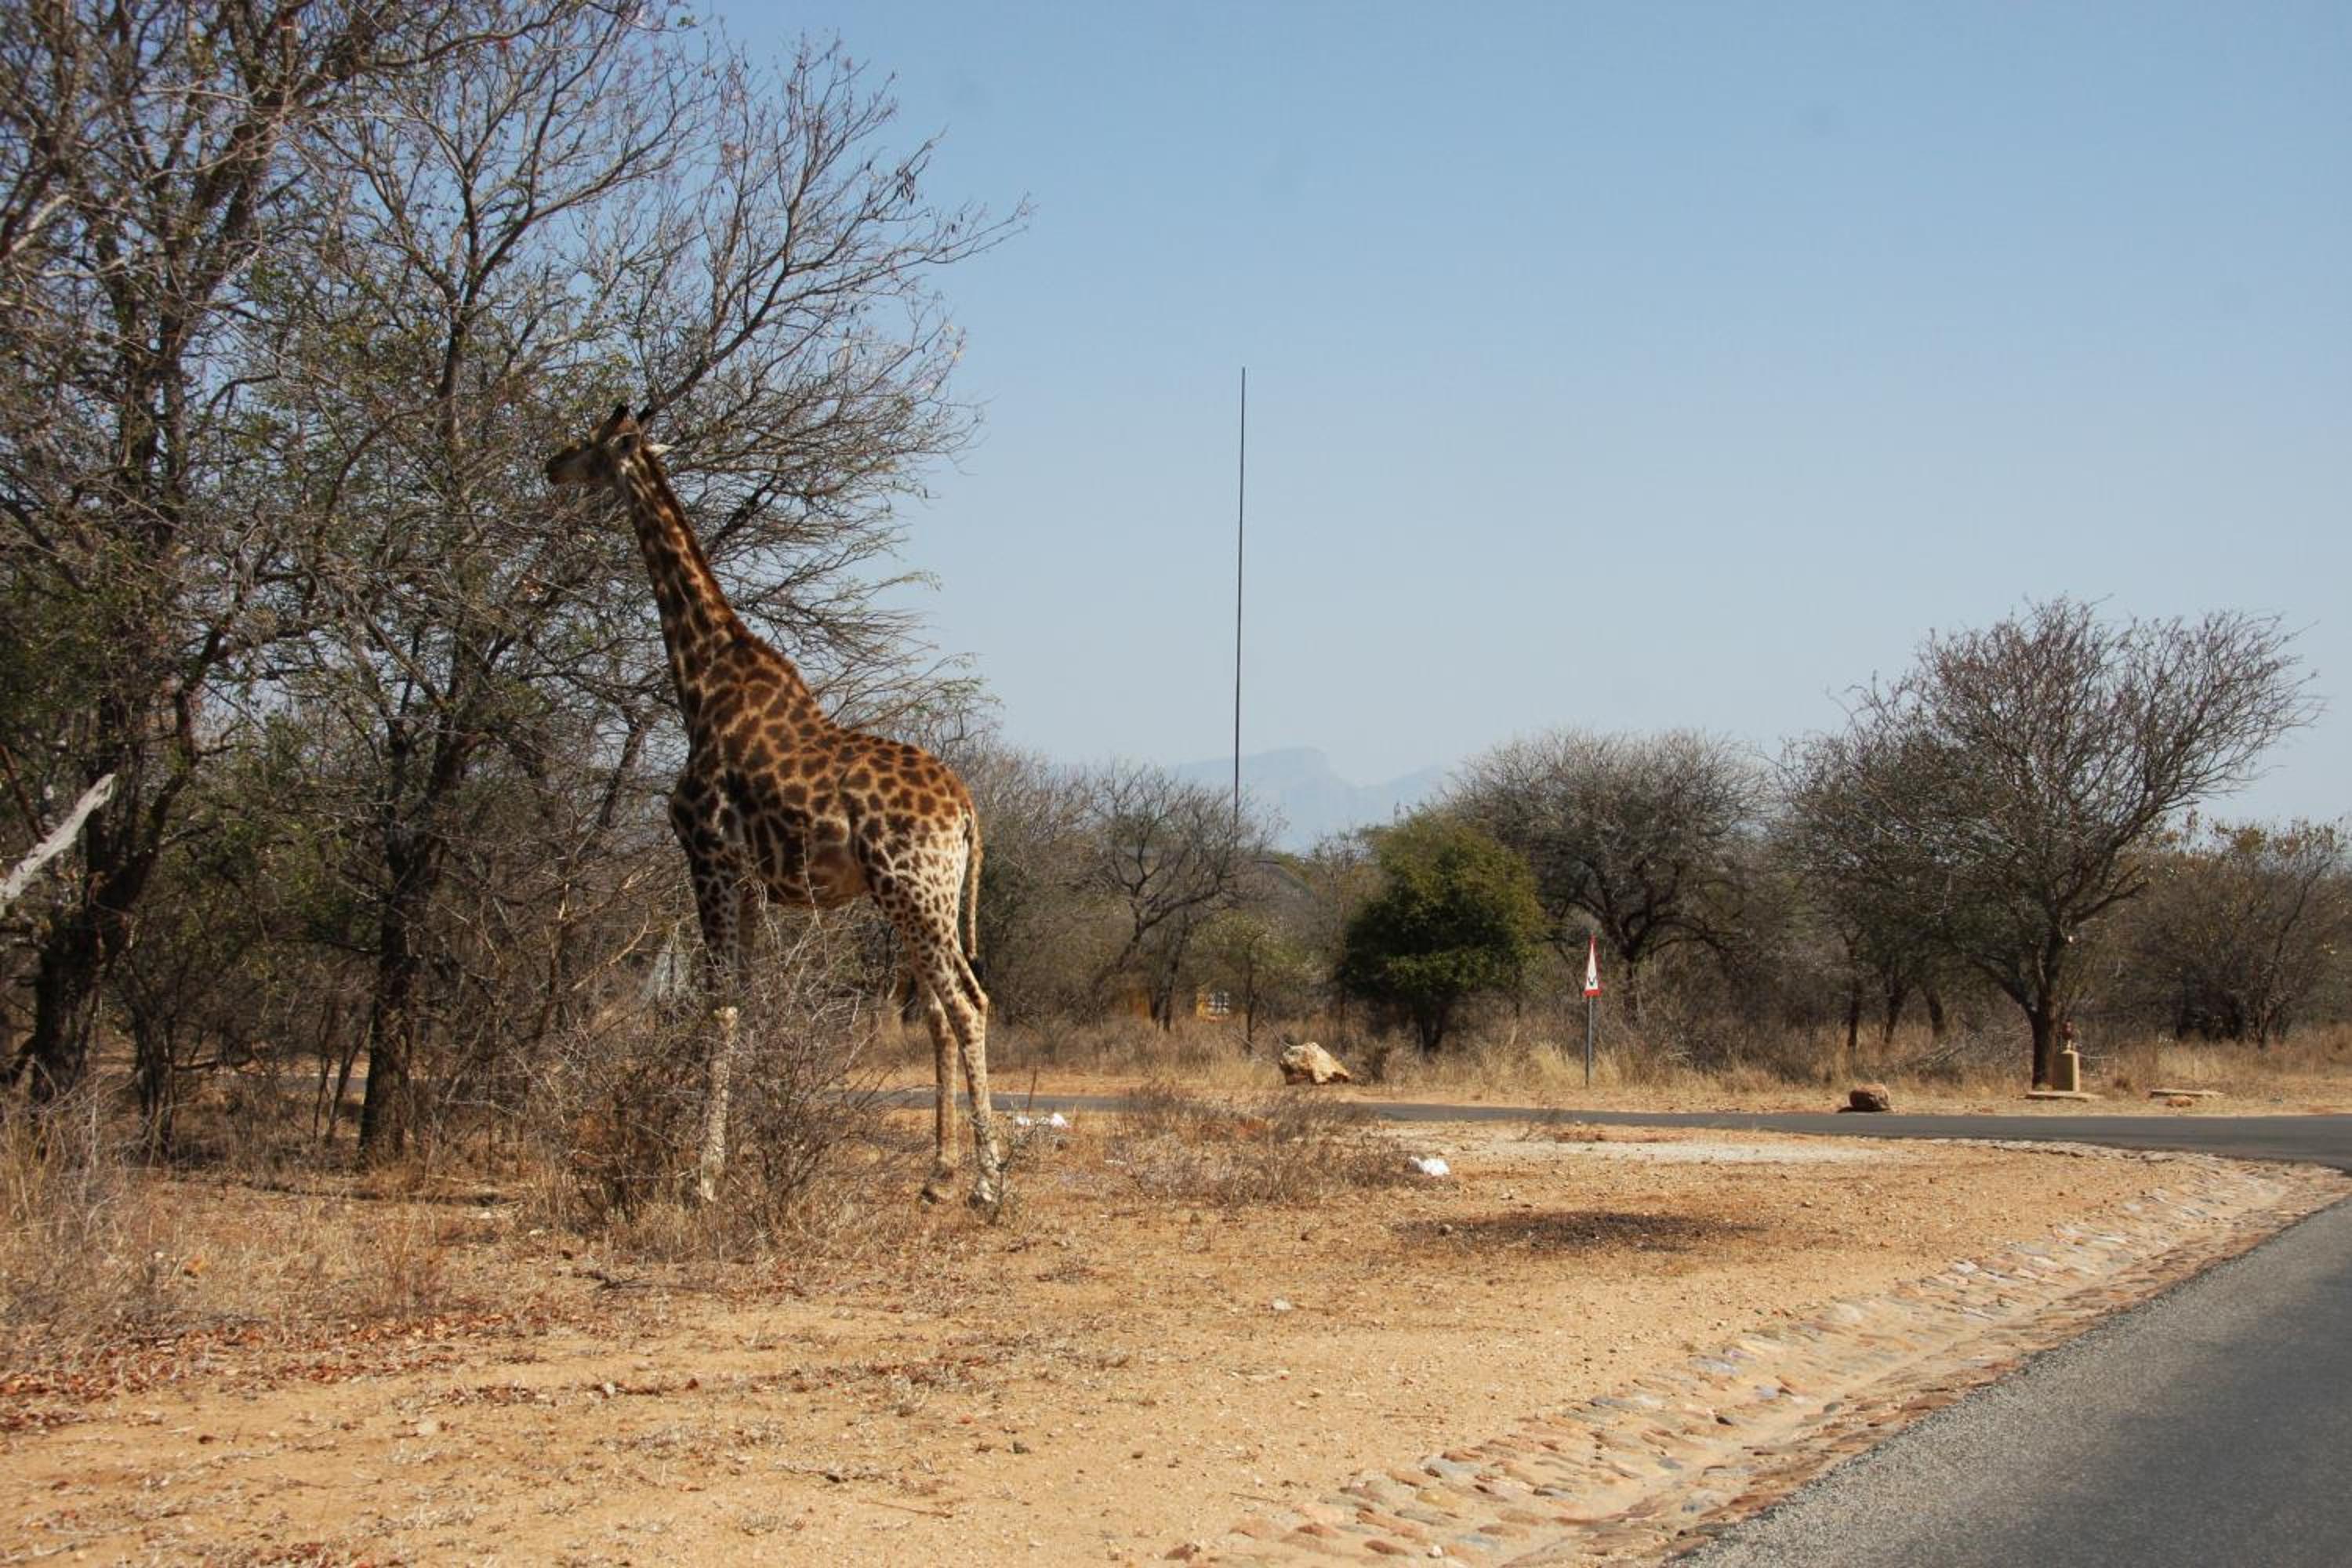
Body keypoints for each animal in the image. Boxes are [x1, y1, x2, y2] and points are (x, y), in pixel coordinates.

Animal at [546, 404, 1000, 1207]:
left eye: (592, 443)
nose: (550, 465)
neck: (700, 684)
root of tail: (967, 807)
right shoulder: (753, 881)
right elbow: (749, 1003)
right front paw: (748, 1155)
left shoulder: (709, 856)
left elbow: (718, 1005)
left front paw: (703, 1177)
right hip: (922, 899)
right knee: (951, 1006)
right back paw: (943, 1174)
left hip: (913, 891)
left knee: (966, 1006)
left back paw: (984, 1183)